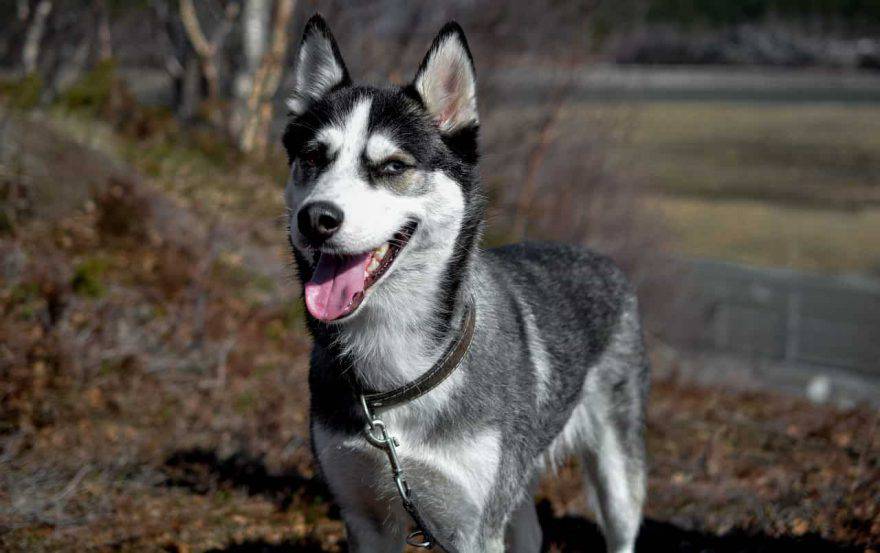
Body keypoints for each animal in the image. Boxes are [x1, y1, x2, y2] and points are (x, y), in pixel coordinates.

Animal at [286, 12, 648, 552]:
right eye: (312, 158)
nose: (316, 218)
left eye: (393, 166)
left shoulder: (470, 527)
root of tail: (597, 257)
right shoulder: (363, 514)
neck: (397, 374)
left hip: (616, 471)